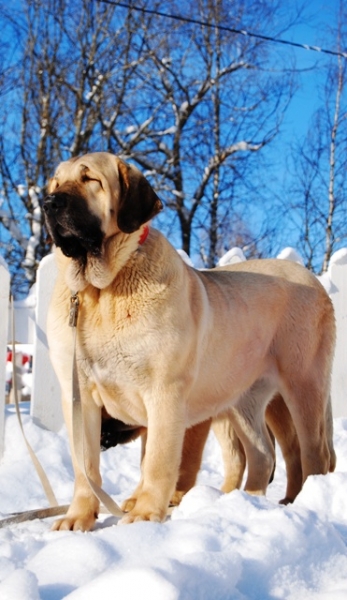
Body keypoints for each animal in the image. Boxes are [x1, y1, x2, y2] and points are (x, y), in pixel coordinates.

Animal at [43, 152, 338, 532]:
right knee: (263, 454)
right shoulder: (79, 397)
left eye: (90, 179)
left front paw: (145, 514)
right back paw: (248, 503)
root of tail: (313, 280)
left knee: (312, 452)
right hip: (244, 399)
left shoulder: (164, 394)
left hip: (303, 386)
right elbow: (86, 467)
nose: (49, 202)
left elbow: (159, 461)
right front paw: (79, 516)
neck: (102, 291)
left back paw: (303, 500)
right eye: (55, 183)